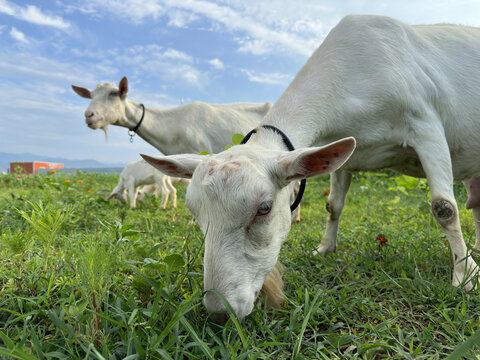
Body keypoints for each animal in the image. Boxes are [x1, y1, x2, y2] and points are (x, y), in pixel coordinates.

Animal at [141, 14, 480, 324]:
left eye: (264, 208)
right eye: (195, 213)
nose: (219, 311)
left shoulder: (425, 124)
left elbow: (444, 208)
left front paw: (464, 275)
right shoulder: (347, 150)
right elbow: (333, 205)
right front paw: (324, 249)